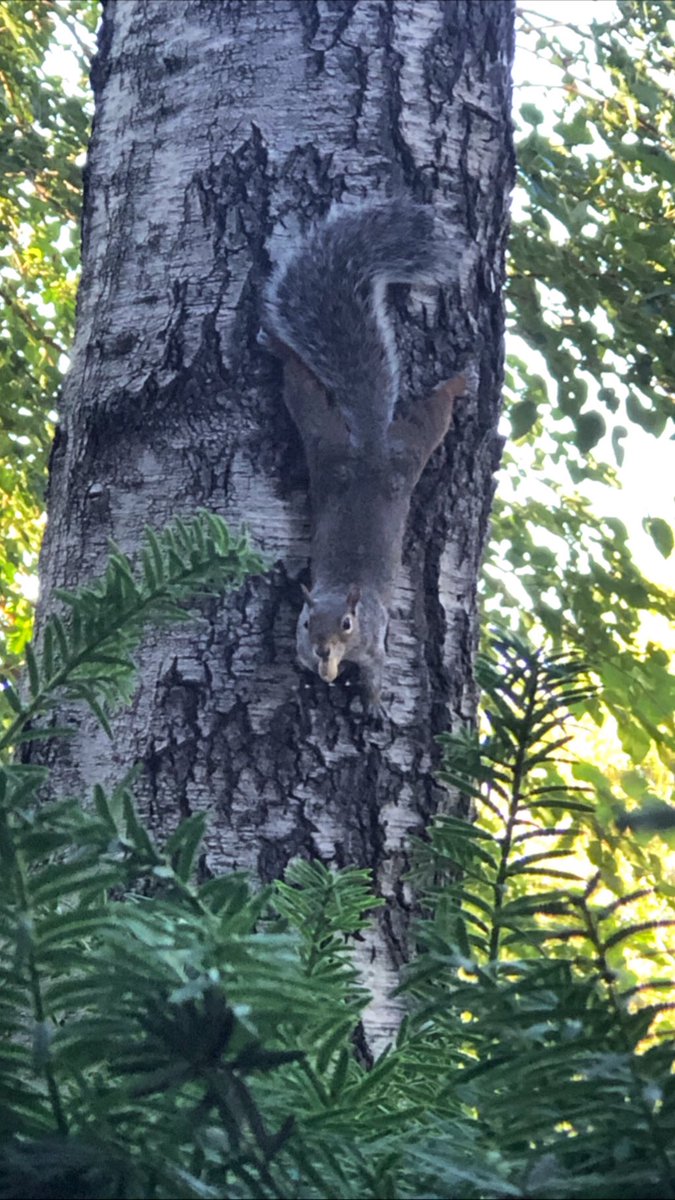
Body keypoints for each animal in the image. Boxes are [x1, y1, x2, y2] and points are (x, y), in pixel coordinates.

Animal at [262, 199, 465, 719]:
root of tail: (370, 448)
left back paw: (456, 385)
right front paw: (320, 677)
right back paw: (282, 350)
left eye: (348, 625)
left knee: (431, 418)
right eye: (306, 622)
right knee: (305, 394)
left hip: (398, 455)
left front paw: (371, 701)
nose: (323, 650)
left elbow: (375, 670)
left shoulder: (375, 643)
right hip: (329, 446)